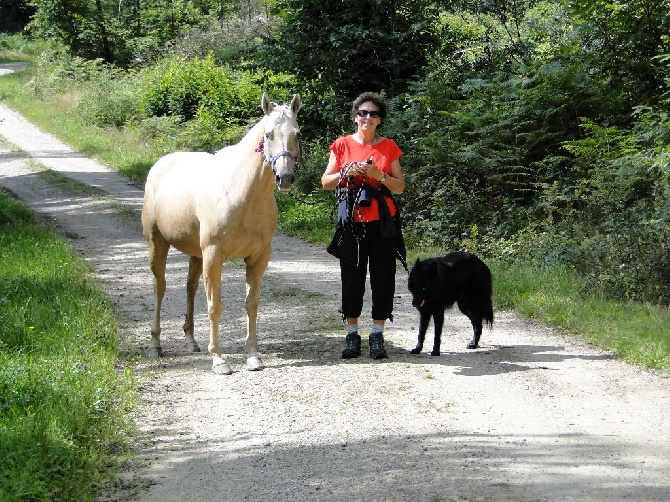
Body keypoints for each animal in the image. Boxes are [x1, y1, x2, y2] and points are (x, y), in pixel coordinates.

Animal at [142, 92, 302, 374]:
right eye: (268, 134)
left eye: (298, 133)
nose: (284, 177)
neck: (242, 194)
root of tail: (161, 164)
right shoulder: (214, 255)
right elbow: (215, 306)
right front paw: (219, 359)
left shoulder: (258, 258)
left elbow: (251, 304)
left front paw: (253, 356)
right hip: (158, 243)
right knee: (159, 287)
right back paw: (155, 345)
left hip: (196, 254)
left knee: (190, 288)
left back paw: (191, 340)